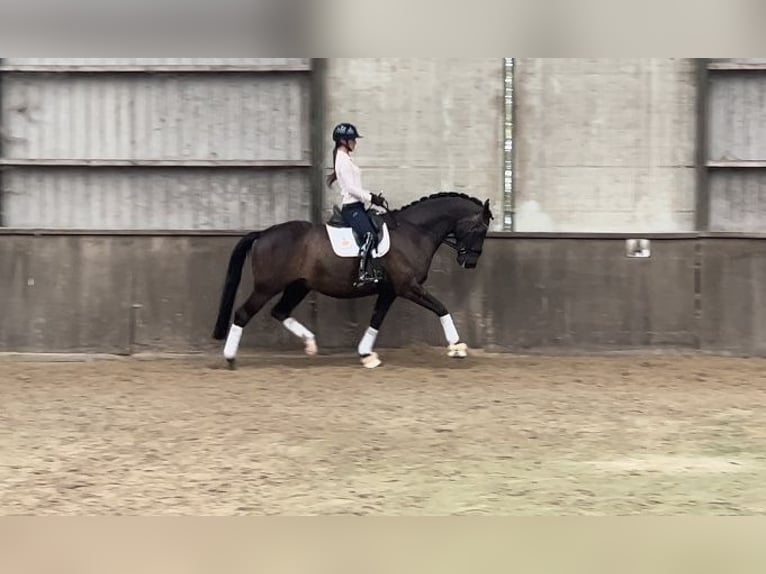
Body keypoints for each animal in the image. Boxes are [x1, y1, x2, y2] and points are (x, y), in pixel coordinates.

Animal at [211, 192, 493, 369]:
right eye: (480, 230)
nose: (469, 262)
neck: (414, 232)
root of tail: (263, 234)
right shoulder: (408, 287)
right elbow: (441, 307)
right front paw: (457, 347)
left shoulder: (390, 290)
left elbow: (376, 319)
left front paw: (367, 355)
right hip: (267, 287)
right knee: (243, 313)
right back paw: (230, 358)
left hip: (299, 285)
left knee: (280, 311)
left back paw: (311, 345)